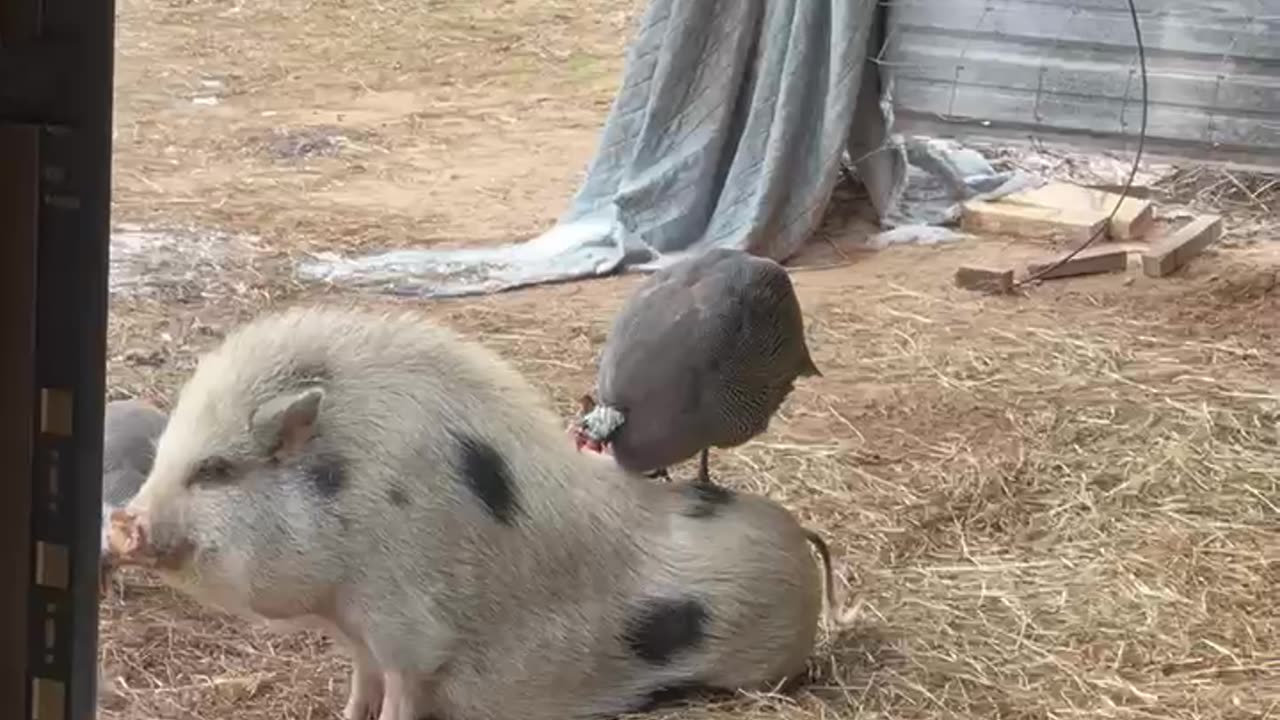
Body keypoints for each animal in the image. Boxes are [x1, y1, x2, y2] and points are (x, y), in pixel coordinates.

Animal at [110, 303, 829, 717]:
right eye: (163, 454)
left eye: (215, 470)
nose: (125, 524)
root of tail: (802, 544)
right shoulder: (361, 635)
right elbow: (359, 687)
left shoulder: (411, 633)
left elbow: (399, 699)